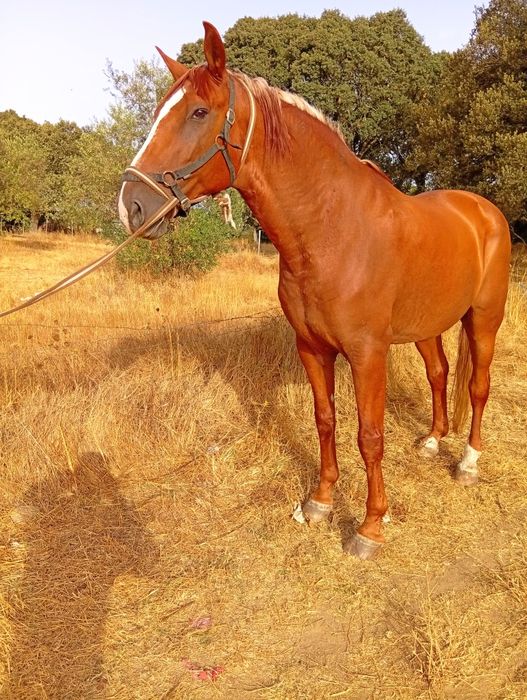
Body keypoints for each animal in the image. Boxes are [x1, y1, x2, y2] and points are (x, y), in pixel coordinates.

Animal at [118, 22, 511, 559]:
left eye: (198, 112)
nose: (131, 205)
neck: (331, 229)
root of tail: (485, 211)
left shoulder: (367, 354)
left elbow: (370, 435)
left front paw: (369, 527)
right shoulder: (311, 347)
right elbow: (325, 419)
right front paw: (320, 503)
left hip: (484, 319)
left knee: (477, 386)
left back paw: (468, 462)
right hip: (426, 326)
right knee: (439, 373)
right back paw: (432, 441)